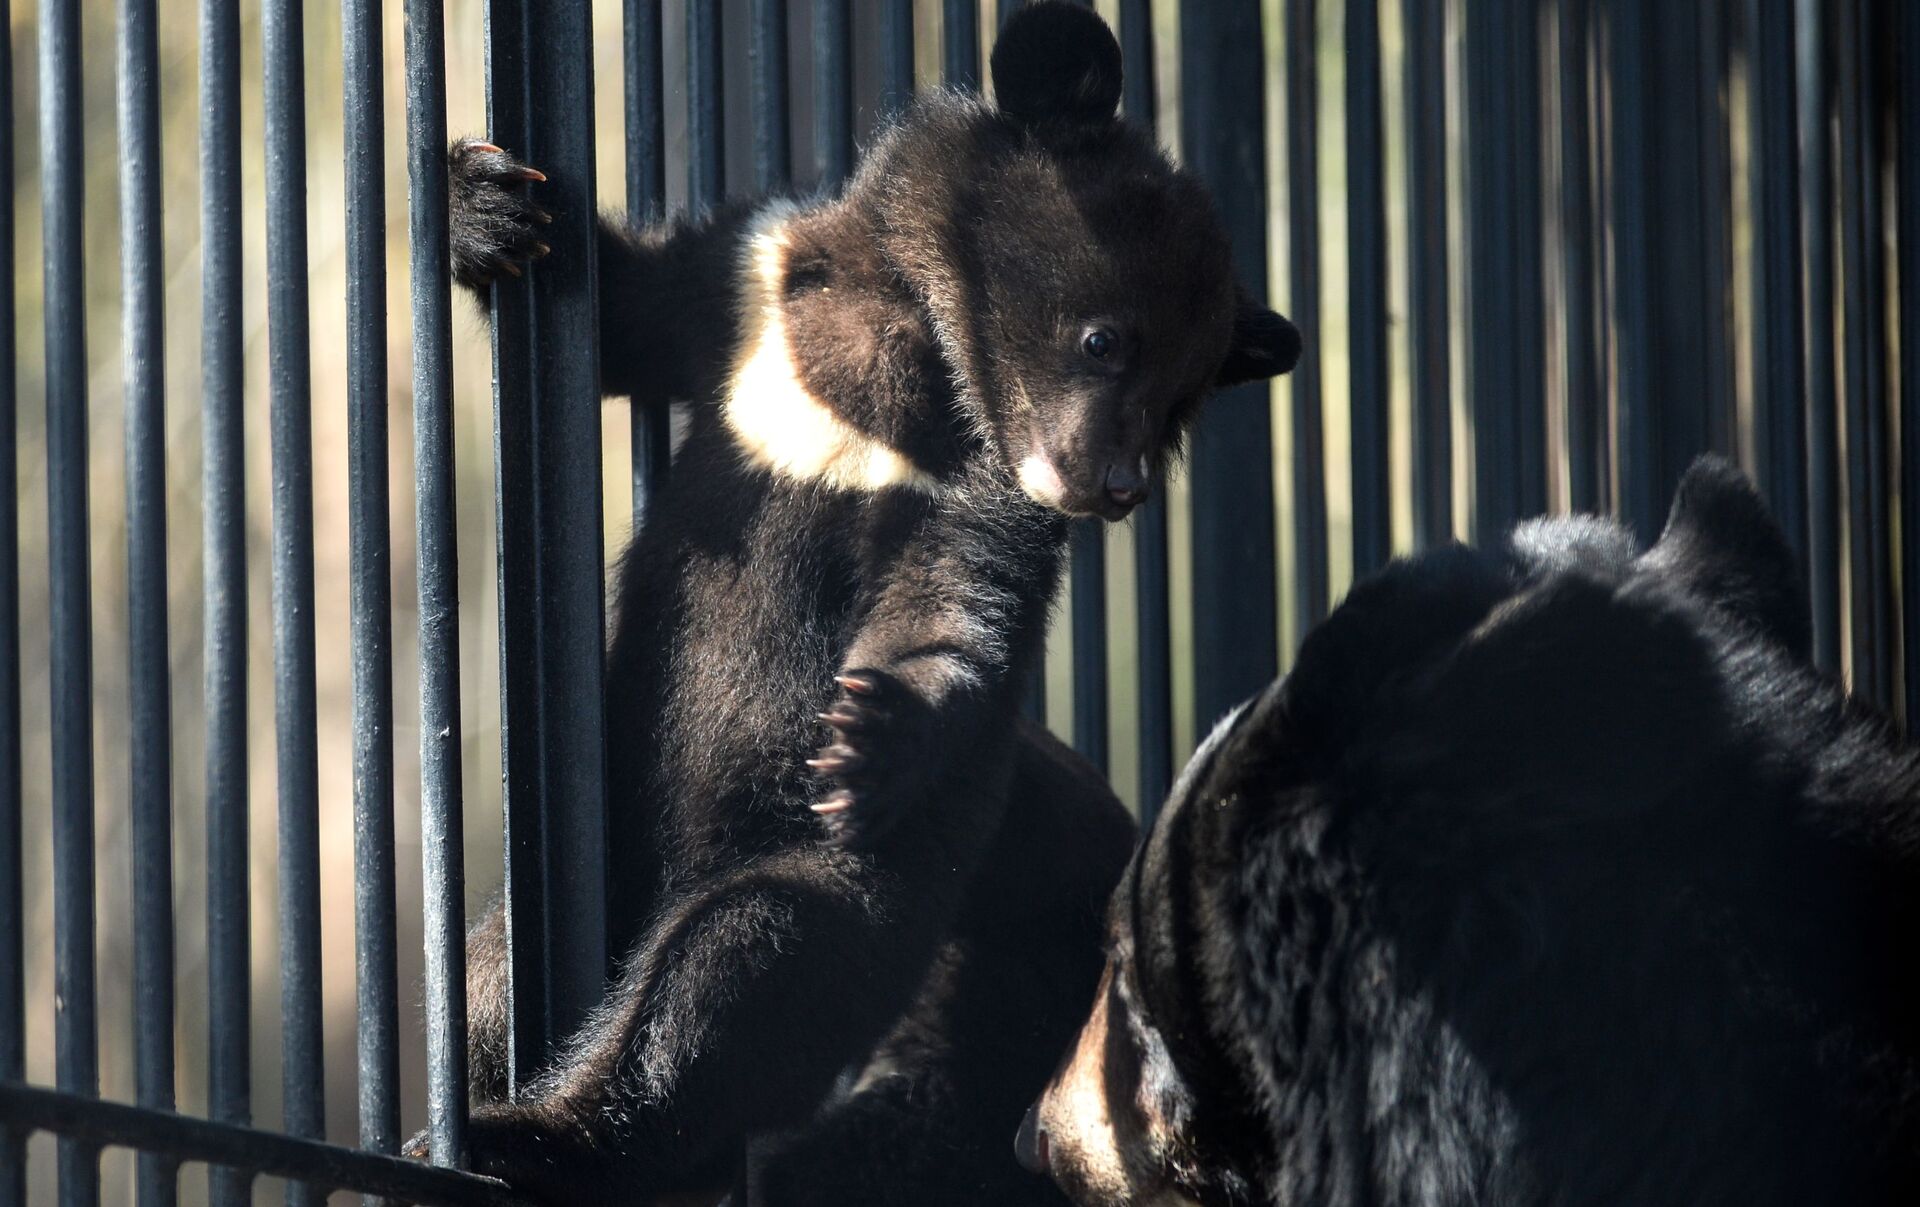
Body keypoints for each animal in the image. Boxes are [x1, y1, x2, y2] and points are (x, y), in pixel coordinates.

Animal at [435, 4, 1305, 1197]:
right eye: (1104, 338)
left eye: (1180, 402)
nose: (1114, 485)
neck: (904, 345)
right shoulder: (752, 291)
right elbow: (633, 307)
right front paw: (491, 205)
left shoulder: (981, 479)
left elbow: (956, 597)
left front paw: (868, 732)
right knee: (495, 977)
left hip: (853, 877)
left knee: (740, 964)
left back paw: (539, 1137)